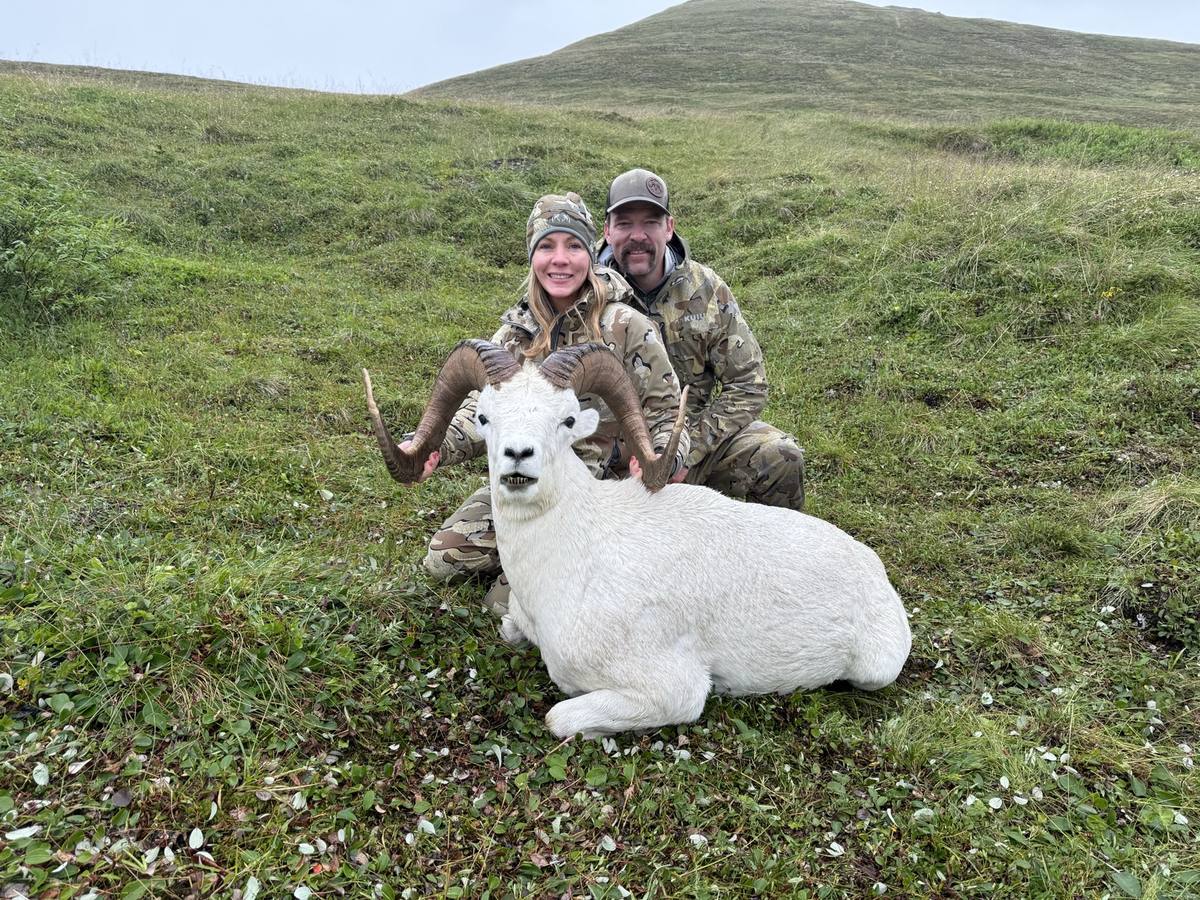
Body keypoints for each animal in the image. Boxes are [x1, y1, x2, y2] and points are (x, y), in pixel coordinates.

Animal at [364, 339, 911, 739]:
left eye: (566, 418)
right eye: (484, 418)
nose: (519, 459)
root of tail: (875, 573)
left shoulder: (671, 691)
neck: (572, 557)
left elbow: (558, 718)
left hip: (874, 669)